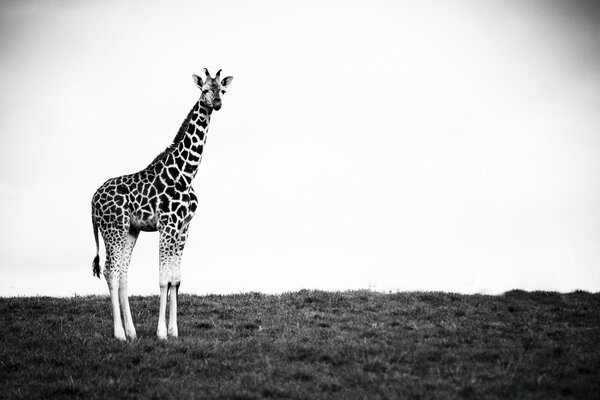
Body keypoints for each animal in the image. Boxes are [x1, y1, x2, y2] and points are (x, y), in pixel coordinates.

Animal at [90, 69, 233, 340]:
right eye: (204, 90)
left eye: (223, 89)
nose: (218, 103)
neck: (186, 173)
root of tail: (92, 202)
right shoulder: (167, 225)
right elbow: (163, 279)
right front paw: (161, 333)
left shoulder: (184, 227)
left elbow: (176, 279)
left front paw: (174, 331)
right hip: (113, 229)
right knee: (110, 272)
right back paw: (119, 334)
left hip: (130, 230)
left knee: (123, 273)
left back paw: (132, 332)